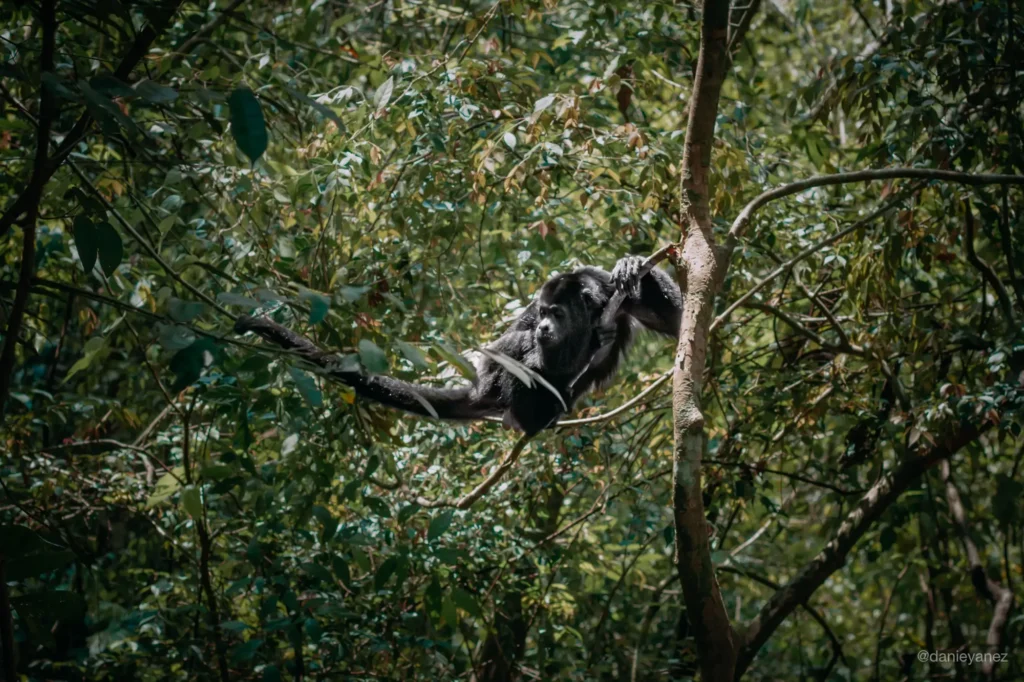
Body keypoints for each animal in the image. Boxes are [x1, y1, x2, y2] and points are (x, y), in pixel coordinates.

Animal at [234, 255, 682, 435]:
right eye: (544, 311)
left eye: (557, 312)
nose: (544, 327)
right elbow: (504, 346)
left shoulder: (607, 289)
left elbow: (677, 319)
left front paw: (633, 263)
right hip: (500, 388)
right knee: (511, 359)